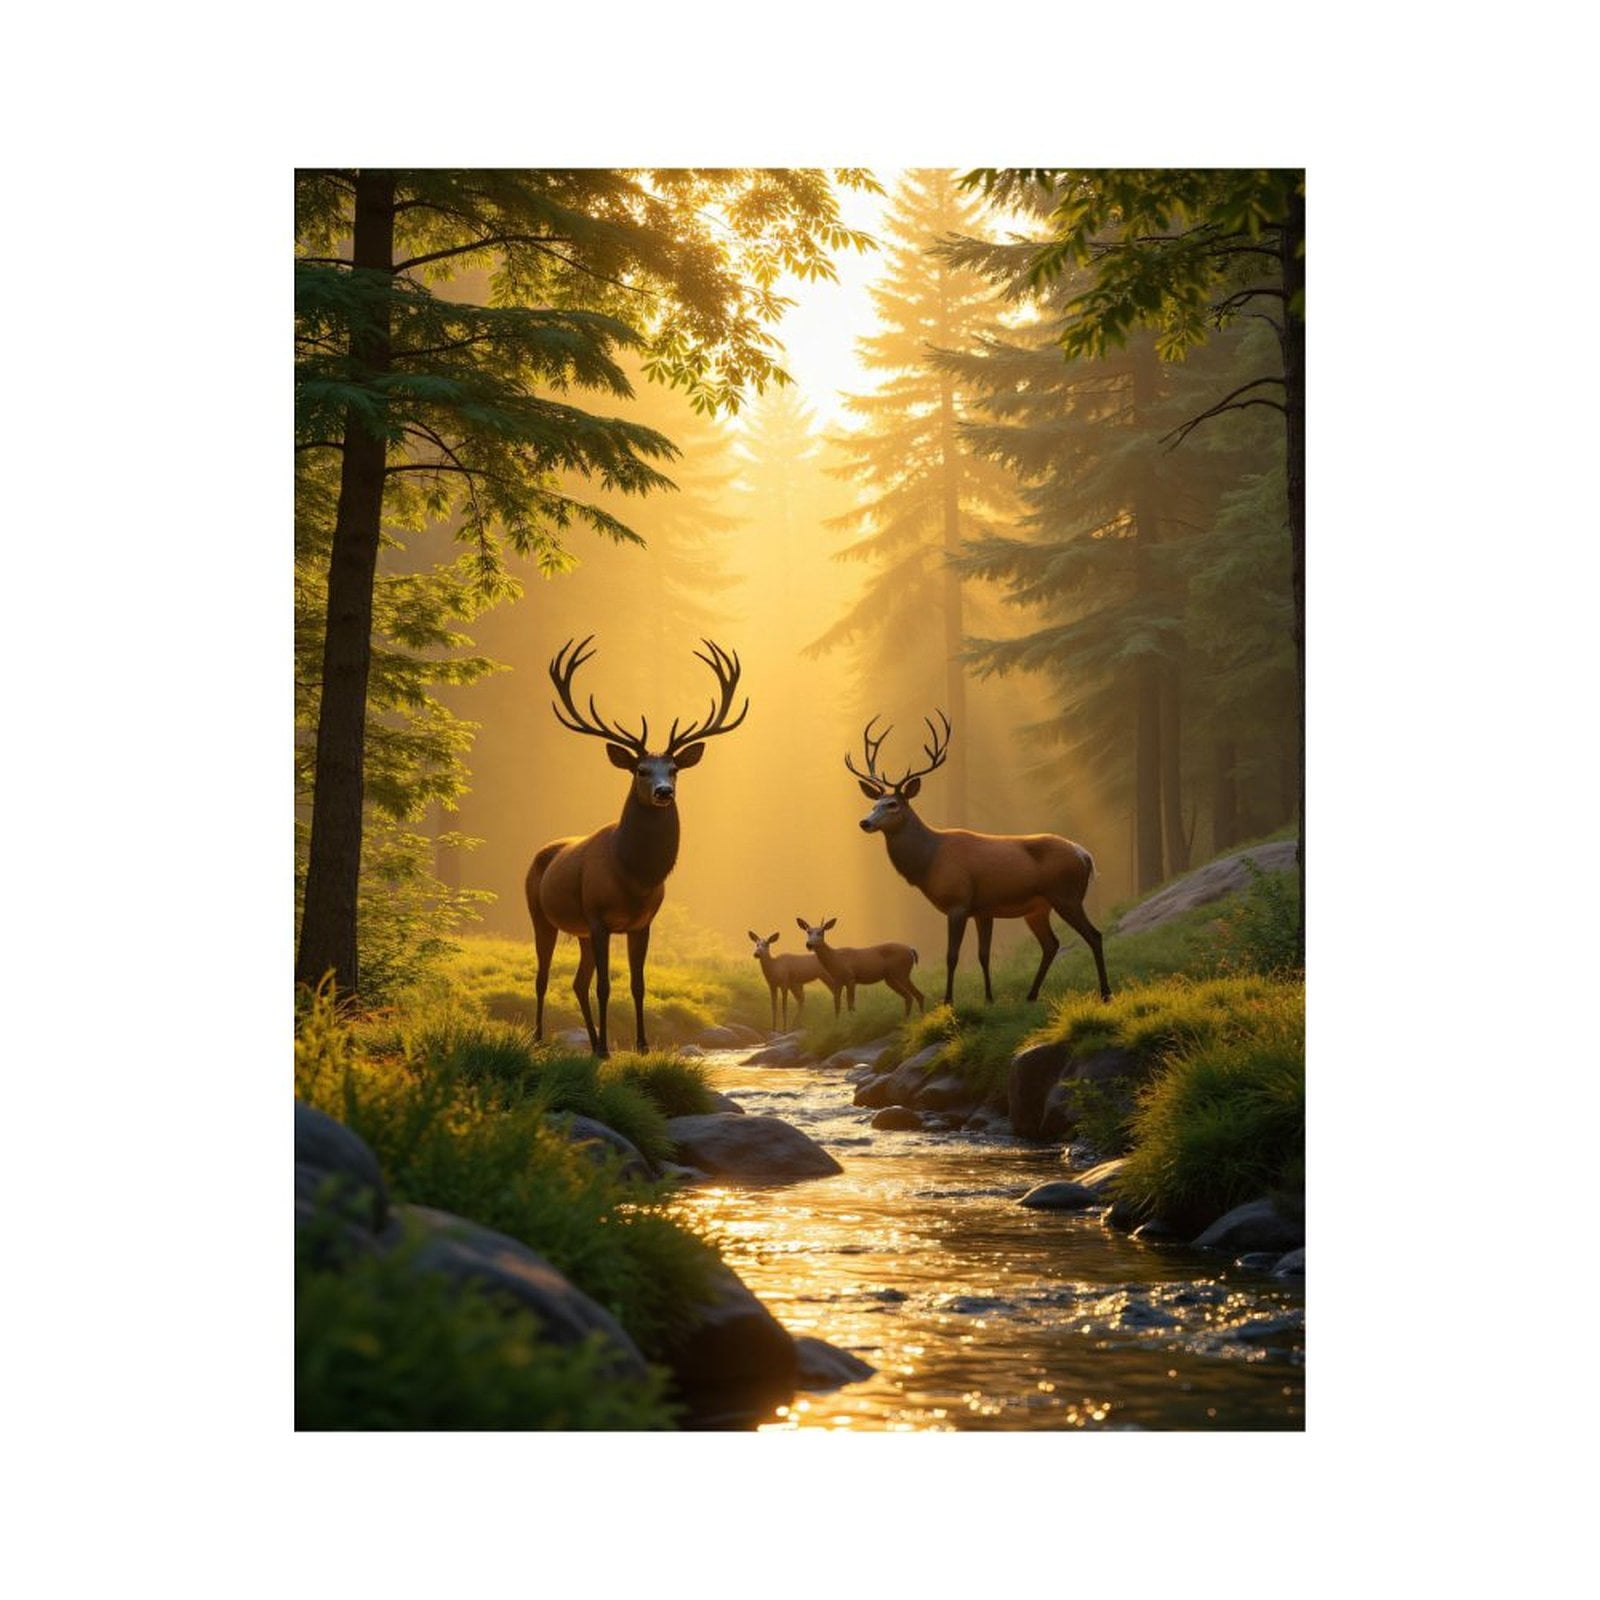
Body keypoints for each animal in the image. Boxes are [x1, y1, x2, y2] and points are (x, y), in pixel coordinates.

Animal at [526, 636, 747, 1058]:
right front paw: (608, 1049)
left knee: (576, 982)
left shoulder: (642, 923)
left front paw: (641, 1045)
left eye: (674, 770)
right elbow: (605, 986)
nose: (663, 792)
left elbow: (638, 984)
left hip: (578, 931)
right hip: (540, 915)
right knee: (543, 976)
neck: (632, 875)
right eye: (641, 770)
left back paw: (591, 1040)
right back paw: (540, 1037)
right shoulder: (598, 916)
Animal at [795, 916, 926, 1017]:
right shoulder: (837, 981)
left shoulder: (851, 978)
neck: (836, 960)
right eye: (808, 931)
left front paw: (852, 1021)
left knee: (918, 995)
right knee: (909, 997)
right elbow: (837, 1006)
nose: (809, 944)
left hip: (901, 972)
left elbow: (850, 1004)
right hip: (890, 978)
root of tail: (911, 950)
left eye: (821, 932)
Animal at [845, 712, 1111, 1007]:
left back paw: (1105, 993)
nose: (865, 822)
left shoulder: (958, 902)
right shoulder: (983, 909)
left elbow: (952, 956)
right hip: (1038, 908)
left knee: (1094, 935)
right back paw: (1031, 995)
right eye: (874, 803)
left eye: (893, 804)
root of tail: (1084, 855)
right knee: (1051, 944)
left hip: (1066, 895)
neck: (929, 862)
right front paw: (989, 998)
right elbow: (983, 955)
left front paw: (948, 1001)